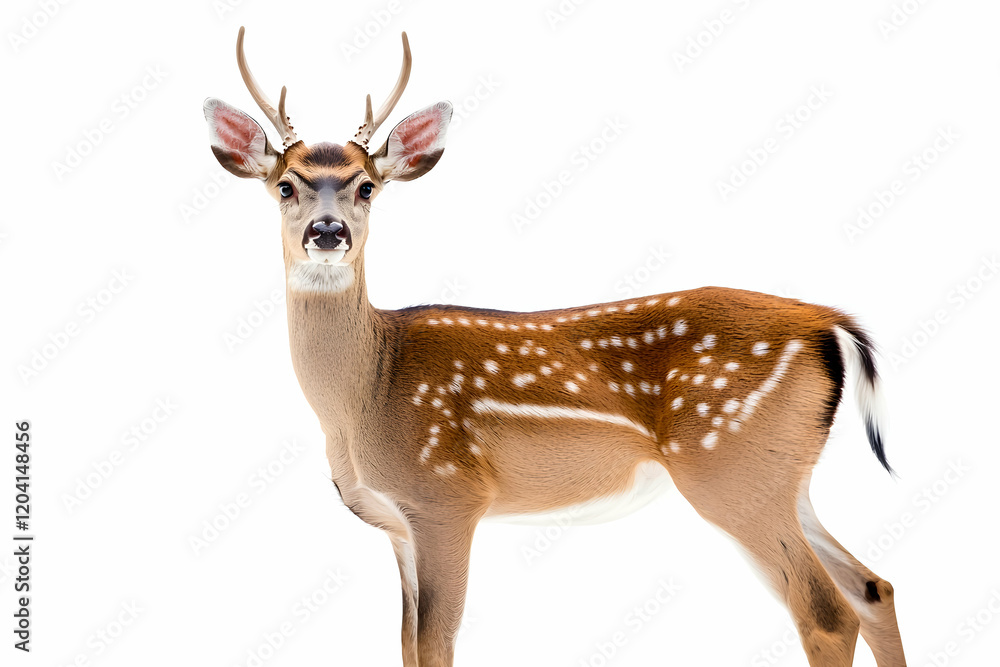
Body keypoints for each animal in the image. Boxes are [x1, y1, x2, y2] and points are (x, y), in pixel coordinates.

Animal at [203, 27, 907, 667]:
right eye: (285, 185)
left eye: (367, 187)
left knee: (826, 612)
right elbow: (405, 645)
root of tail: (827, 321)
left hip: (729, 462)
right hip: (786, 475)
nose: (328, 231)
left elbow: (435, 645)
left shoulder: (447, 497)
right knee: (874, 586)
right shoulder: (396, 524)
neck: (363, 397)